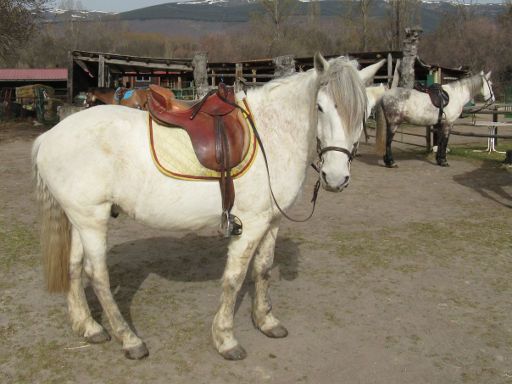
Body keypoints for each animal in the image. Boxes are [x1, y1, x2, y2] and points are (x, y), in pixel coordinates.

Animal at [33, 53, 372, 360]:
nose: (336, 177)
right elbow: (235, 279)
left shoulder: (272, 221)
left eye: (365, 113)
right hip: (92, 220)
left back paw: (88, 327)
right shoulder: (251, 225)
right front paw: (225, 339)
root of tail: (48, 137)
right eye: (320, 107)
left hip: (81, 218)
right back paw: (129, 340)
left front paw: (266, 321)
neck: (271, 133)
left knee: (74, 266)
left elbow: (262, 270)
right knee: (98, 275)